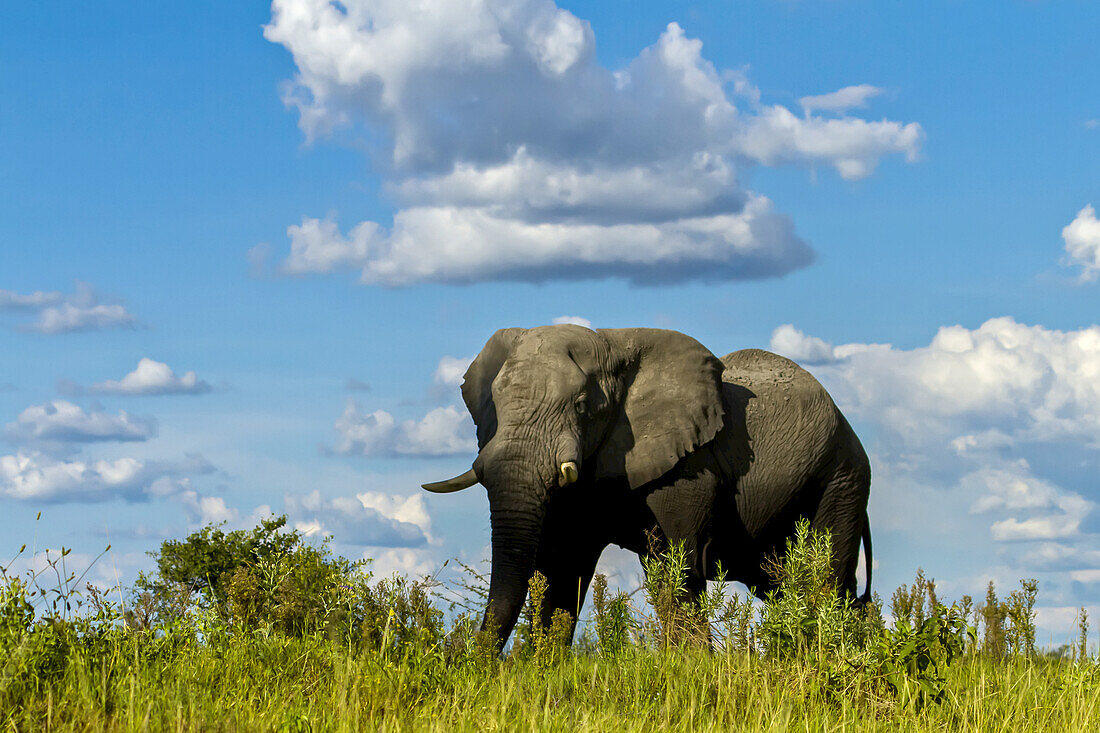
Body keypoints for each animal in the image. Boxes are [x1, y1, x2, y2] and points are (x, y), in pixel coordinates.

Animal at [424, 325, 871, 647]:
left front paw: (692, 670)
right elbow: (561, 571)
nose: (457, 658)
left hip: (841, 477)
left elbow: (673, 571)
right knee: (794, 589)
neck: (609, 343)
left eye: (583, 407)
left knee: (825, 585)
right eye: (495, 405)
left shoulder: (689, 470)